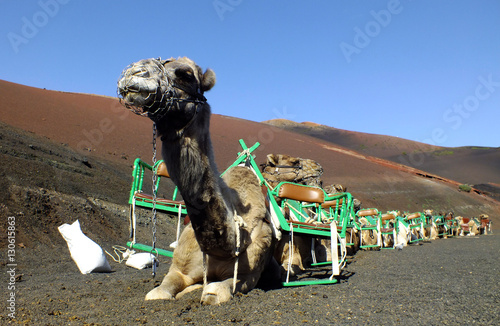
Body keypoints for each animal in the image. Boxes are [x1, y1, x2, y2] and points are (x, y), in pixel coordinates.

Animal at [118, 57, 282, 304]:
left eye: (185, 74)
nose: (134, 72)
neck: (225, 246)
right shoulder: (179, 269)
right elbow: (158, 292)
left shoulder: (247, 275)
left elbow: (215, 291)